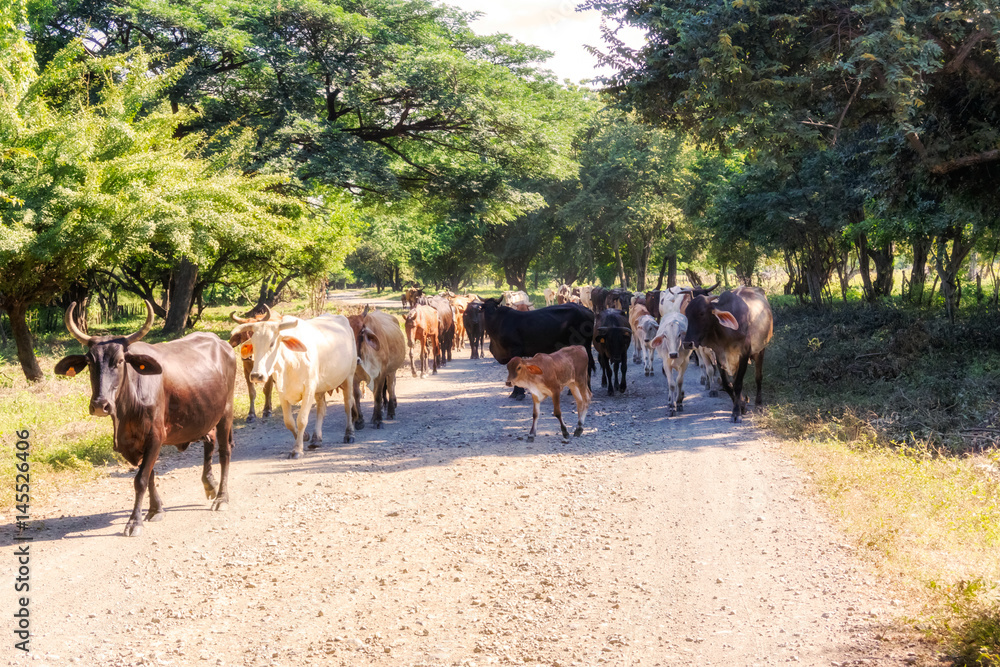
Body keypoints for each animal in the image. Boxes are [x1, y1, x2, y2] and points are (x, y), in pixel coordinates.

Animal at [55, 302, 236, 537]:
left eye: (120, 361)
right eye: (89, 362)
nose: (100, 405)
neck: (126, 410)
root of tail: (223, 344)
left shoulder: (155, 437)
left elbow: (140, 479)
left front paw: (135, 521)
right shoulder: (134, 442)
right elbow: (149, 476)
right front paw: (155, 509)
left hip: (226, 413)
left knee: (225, 452)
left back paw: (222, 497)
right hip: (205, 414)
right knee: (210, 442)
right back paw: (210, 485)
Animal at [247, 314, 357, 457]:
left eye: (271, 343)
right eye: (253, 344)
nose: (256, 375)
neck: (290, 362)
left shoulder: (309, 389)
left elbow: (302, 420)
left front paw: (297, 449)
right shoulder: (282, 392)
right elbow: (289, 421)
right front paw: (304, 436)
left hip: (349, 375)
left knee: (348, 404)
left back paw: (349, 434)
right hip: (320, 387)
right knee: (321, 408)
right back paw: (316, 439)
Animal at [683, 286, 773, 423]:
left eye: (701, 313)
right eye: (686, 314)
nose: (687, 343)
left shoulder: (744, 354)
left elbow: (738, 384)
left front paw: (736, 413)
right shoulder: (719, 356)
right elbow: (727, 384)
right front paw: (741, 405)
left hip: (760, 350)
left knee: (758, 377)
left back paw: (759, 405)